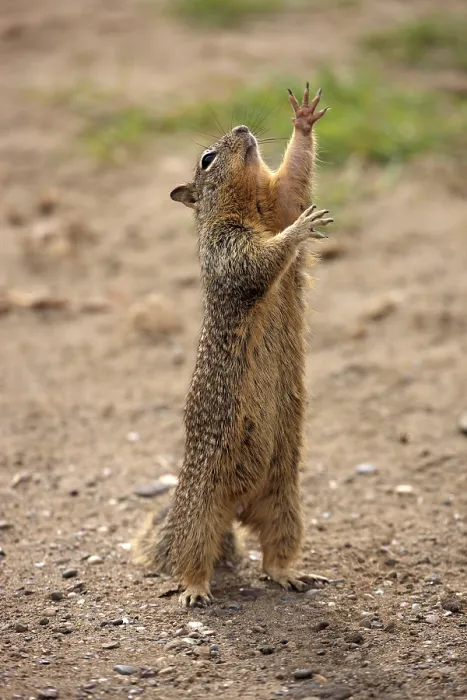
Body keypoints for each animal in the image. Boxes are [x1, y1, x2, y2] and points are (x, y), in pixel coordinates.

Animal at [133, 83, 333, 607]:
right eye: (206, 158)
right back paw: (194, 589)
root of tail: (239, 508)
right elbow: (262, 260)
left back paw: (290, 575)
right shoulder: (230, 249)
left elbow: (294, 181)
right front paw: (301, 230)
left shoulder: (280, 200)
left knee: (274, 552)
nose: (243, 128)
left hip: (286, 504)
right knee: (190, 557)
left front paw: (303, 120)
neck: (251, 209)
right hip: (203, 512)